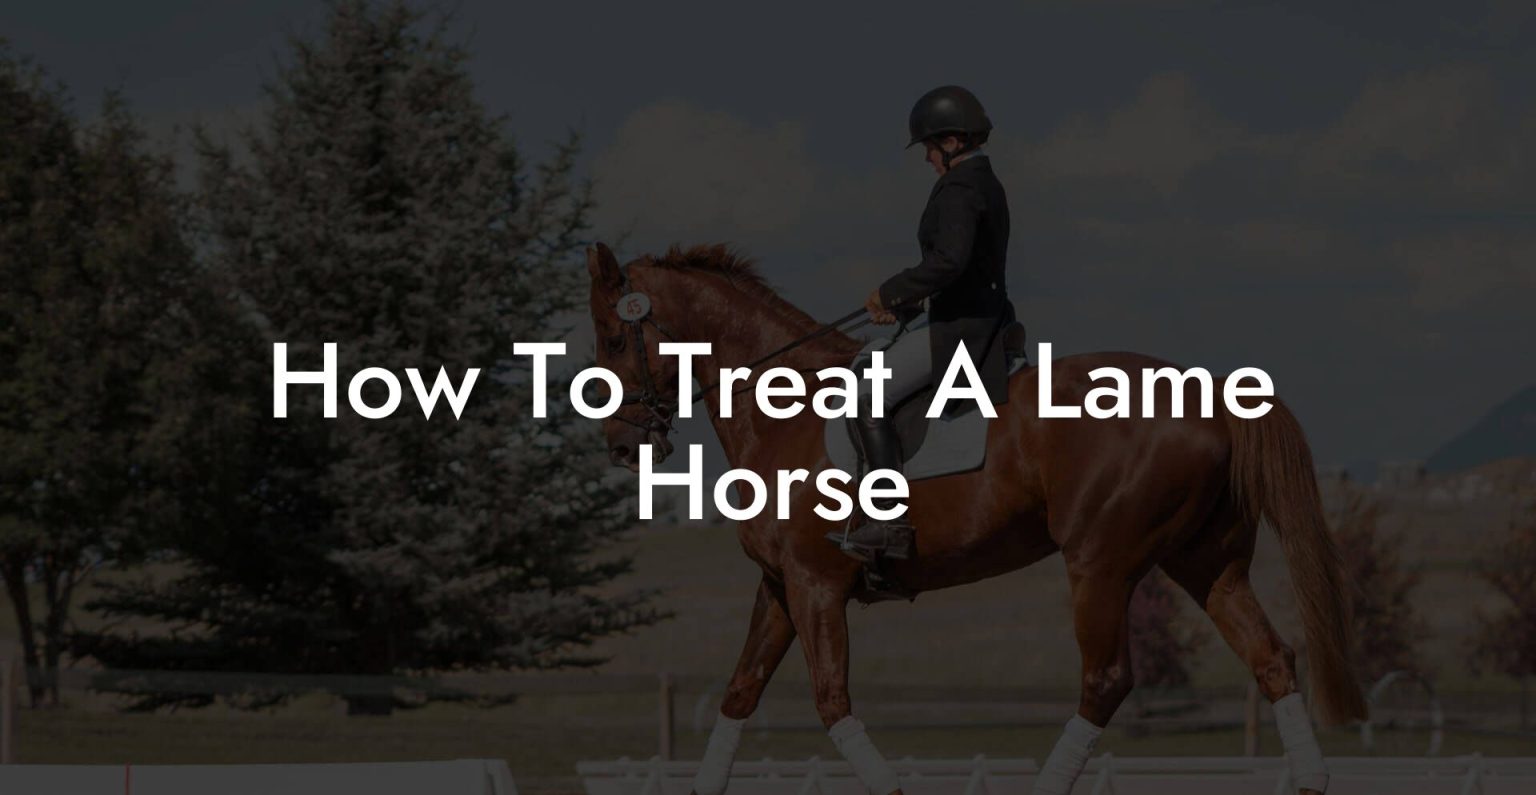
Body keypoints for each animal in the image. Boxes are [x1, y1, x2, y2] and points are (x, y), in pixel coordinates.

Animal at [584, 242, 1365, 795]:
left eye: (616, 340)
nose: (619, 446)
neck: (783, 407)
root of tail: (1213, 397)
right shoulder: (781, 586)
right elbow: (741, 692)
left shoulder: (816, 587)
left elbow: (832, 702)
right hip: (1207, 562)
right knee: (1271, 657)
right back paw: (1309, 779)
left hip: (1100, 562)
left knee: (1106, 680)